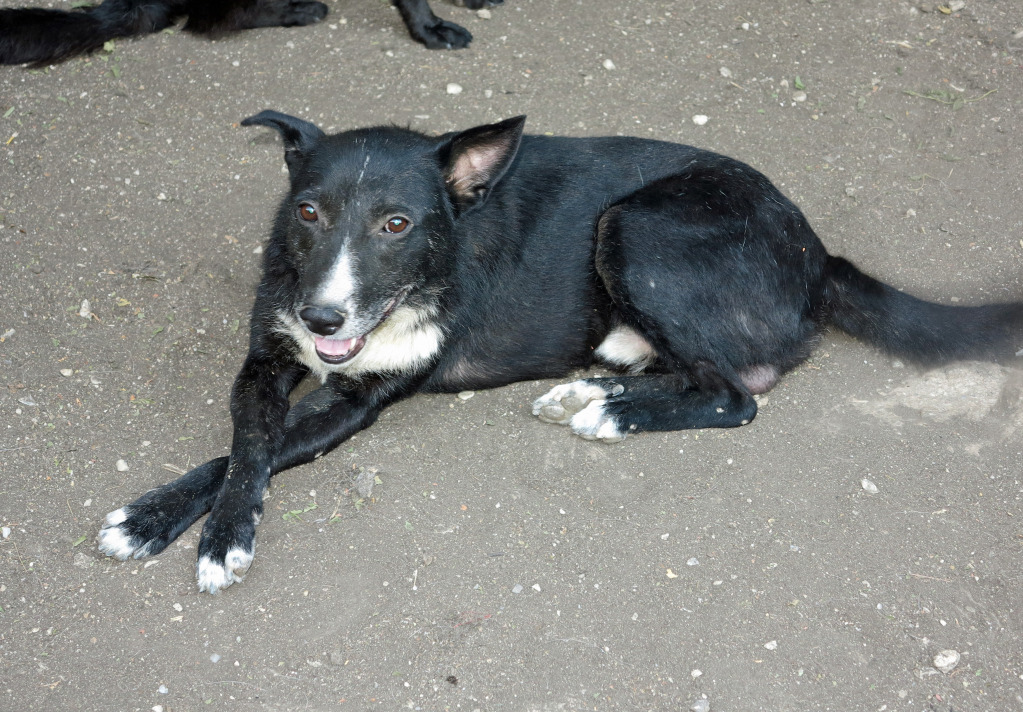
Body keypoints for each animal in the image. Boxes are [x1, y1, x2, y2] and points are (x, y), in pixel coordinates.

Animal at [97, 109, 1023, 589]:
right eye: (308, 212)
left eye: (396, 223)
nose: (324, 319)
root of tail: (817, 251)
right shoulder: (266, 359)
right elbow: (243, 445)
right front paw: (158, 517)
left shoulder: (359, 399)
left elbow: (252, 452)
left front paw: (215, 537)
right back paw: (597, 387)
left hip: (636, 226)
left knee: (735, 393)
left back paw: (606, 412)